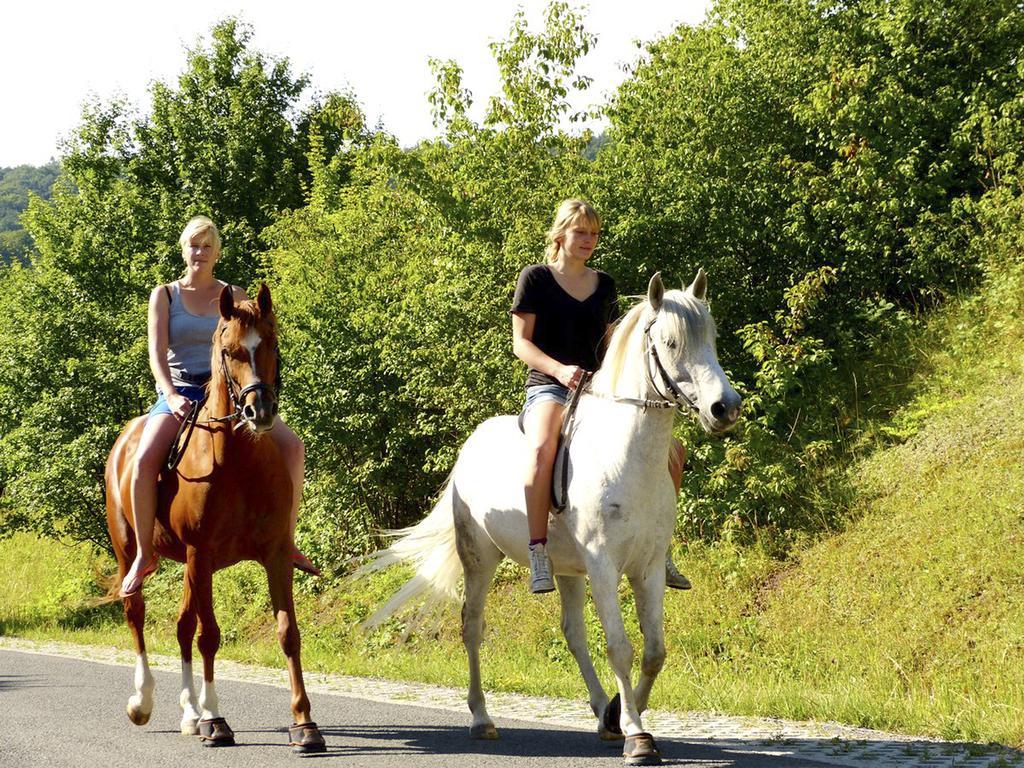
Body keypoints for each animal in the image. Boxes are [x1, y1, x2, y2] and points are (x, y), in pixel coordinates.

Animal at [103, 282, 323, 753]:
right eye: (229, 349)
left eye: (272, 343)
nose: (260, 412)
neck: (238, 461)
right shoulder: (200, 553)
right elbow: (211, 636)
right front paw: (216, 720)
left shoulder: (274, 555)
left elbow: (287, 633)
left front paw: (305, 723)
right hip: (133, 551)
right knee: (136, 612)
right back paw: (144, 702)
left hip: (190, 566)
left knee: (183, 625)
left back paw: (190, 713)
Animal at [356, 270, 741, 765]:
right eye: (671, 343)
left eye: (710, 337)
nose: (724, 407)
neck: (627, 456)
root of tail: (470, 446)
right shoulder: (603, 566)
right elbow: (620, 647)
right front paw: (636, 735)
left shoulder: (648, 567)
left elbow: (654, 651)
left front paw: (619, 715)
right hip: (481, 560)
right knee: (472, 627)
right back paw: (482, 719)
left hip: (568, 569)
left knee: (572, 633)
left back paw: (599, 712)